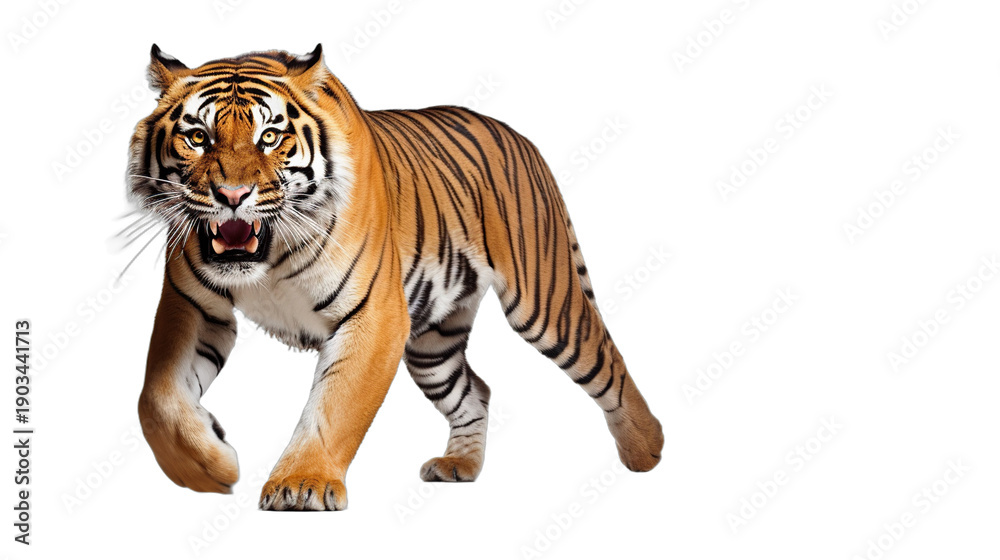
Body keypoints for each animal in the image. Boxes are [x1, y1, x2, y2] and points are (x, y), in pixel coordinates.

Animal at [129, 44, 663, 511]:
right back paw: (459, 465)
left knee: (607, 362)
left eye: (270, 138)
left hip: (545, 304)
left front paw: (301, 485)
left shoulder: (375, 316)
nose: (232, 195)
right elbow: (157, 399)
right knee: (476, 389)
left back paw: (647, 449)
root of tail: (517, 135)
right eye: (198, 137)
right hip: (432, 345)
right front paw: (210, 467)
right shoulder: (192, 305)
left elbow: (335, 406)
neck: (270, 256)